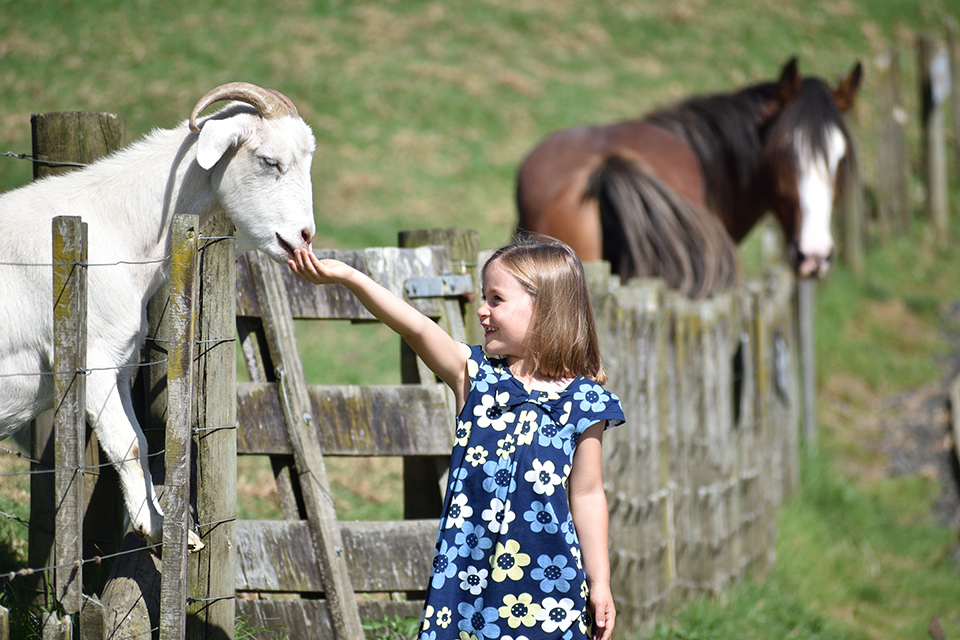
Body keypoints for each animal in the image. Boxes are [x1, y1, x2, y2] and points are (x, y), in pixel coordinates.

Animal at [0, 82, 316, 552]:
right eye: (269, 161)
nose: (304, 237)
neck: (113, 227)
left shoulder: (121, 362)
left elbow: (141, 442)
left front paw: (166, 526)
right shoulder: (90, 359)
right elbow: (128, 446)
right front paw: (153, 527)